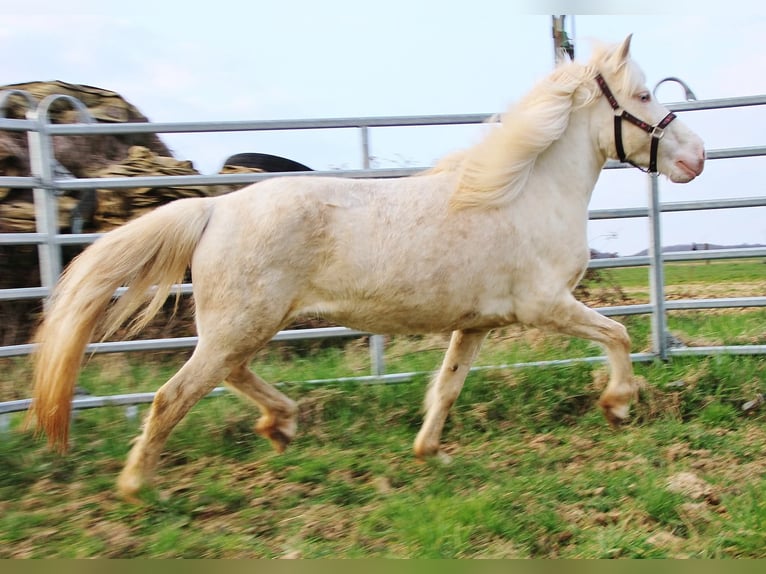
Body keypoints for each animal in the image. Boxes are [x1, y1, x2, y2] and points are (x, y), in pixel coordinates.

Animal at [27, 35, 705, 500]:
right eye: (644, 96)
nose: (696, 157)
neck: (523, 193)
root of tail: (215, 209)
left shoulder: (477, 323)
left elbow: (448, 385)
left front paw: (429, 453)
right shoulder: (544, 306)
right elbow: (617, 334)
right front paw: (617, 405)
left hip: (244, 327)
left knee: (231, 376)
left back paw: (282, 424)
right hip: (241, 326)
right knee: (175, 395)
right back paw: (139, 487)